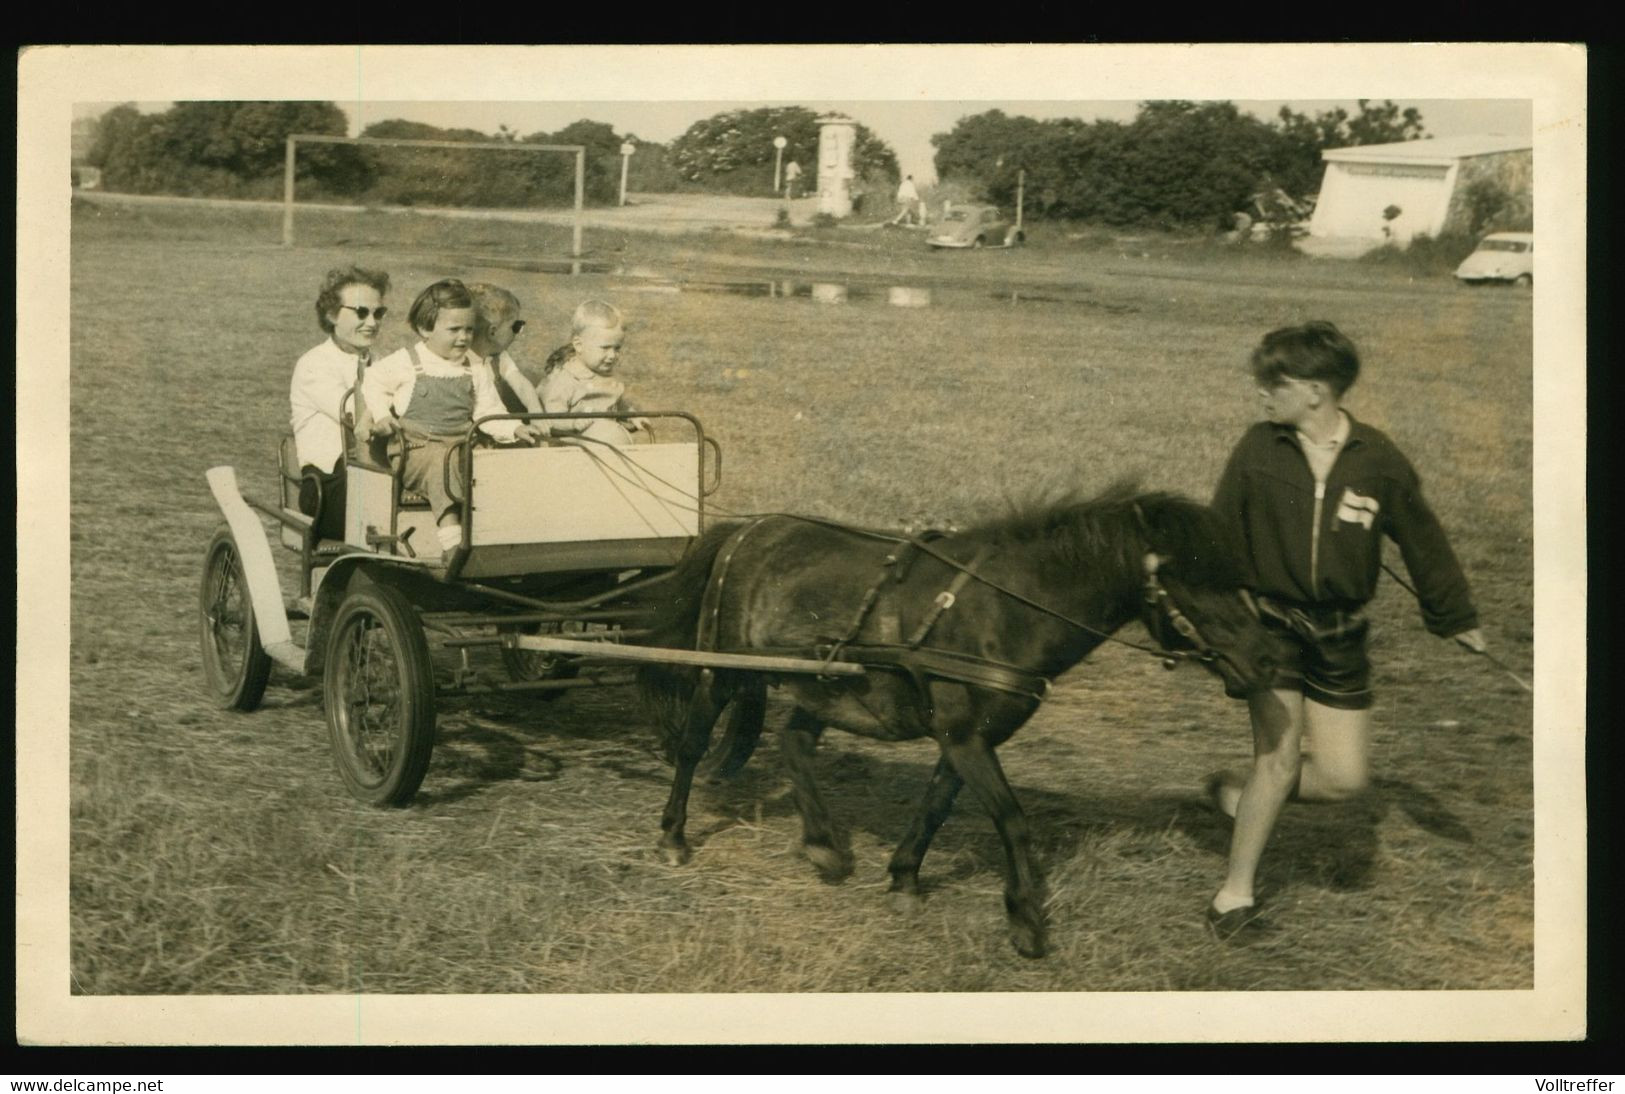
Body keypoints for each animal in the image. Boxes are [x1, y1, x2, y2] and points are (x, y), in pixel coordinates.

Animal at [633, 487, 1267, 955]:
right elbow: (1011, 819)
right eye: (1190, 575)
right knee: (692, 746)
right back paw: (674, 836)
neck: (1003, 609)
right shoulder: (965, 736)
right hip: (722, 672)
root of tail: (747, 530)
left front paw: (905, 878)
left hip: (824, 686)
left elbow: (937, 804)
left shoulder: (968, 737)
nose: (1266, 659)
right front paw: (1026, 919)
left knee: (794, 743)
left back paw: (823, 846)